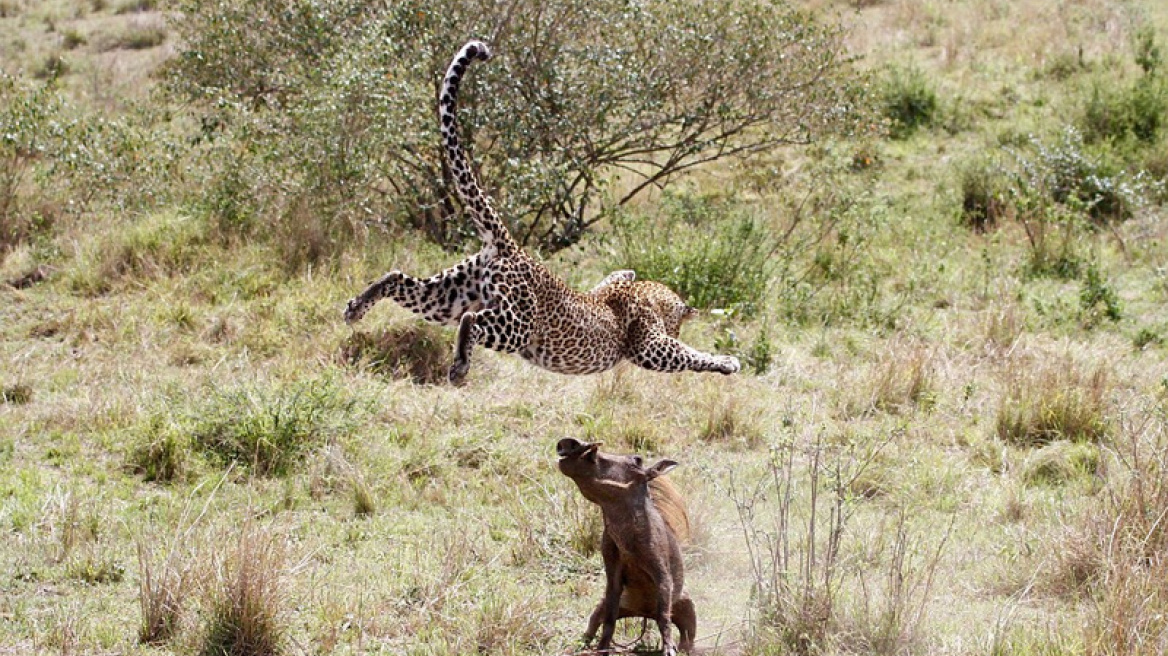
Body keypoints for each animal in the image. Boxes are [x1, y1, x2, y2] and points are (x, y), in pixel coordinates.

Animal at [341, 39, 738, 382]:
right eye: (678, 325)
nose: (678, 327)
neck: (646, 296)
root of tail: (512, 248)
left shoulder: (615, 282)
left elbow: (621, 274)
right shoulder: (649, 347)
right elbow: (687, 353)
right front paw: (726, 361)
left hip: (448, 295)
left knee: (399, 278)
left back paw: (355, 308)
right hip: (516, 325)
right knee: (472, 321)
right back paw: (459, 367)